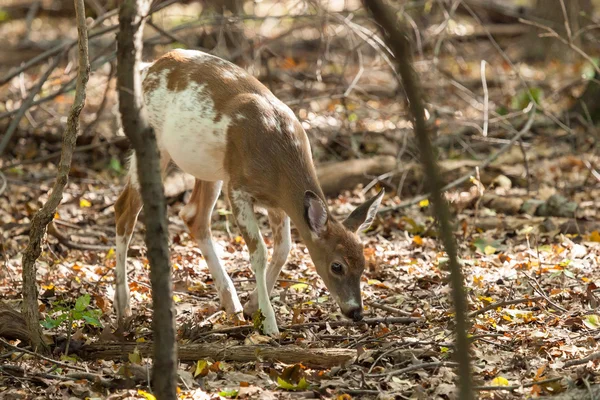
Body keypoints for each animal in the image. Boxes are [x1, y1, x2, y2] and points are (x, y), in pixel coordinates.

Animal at [113, 49, 384, 338]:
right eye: (337, 266)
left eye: (363, 265)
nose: (356, 312)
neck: (277, 157)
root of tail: (149, 67)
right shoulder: (238, 187)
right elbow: (259, 253)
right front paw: (269, 322)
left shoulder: (277, 202)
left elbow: (284, 249)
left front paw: (252, 306)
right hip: (156, 144)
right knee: (125, 209)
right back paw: (123, 308)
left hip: (210, 168)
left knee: (193, 216)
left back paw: (230, 302)